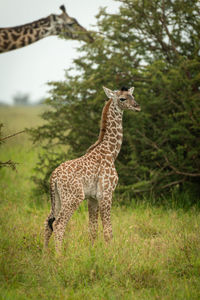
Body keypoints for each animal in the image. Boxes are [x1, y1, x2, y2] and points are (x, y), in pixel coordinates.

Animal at [44, 86, 141, 253]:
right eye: (122, 98)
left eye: (133, 95)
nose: (137, 106)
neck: (111, 152)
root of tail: (54, 176)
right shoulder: (106, 193)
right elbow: (108, 230)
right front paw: (111, 254)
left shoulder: (92, 198)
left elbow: (93, 229)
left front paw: (92, 252)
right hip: (73, 197)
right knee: (58, 223)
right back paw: (58, 255)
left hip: (57, 198)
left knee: (48, 222)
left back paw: (44, 253)